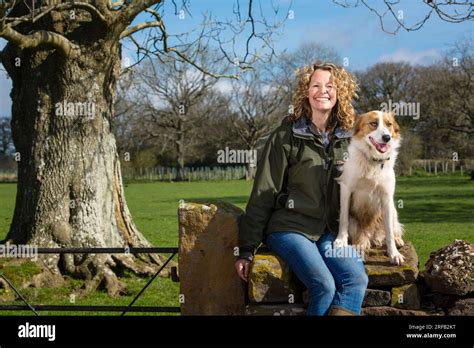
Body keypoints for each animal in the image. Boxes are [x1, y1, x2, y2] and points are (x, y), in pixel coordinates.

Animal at [336, 111, 406, 264]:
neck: (373, 161)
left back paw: (396, 240)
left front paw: (394, 254)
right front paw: (341, 240)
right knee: (361, 236)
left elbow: (389, 231)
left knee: (393, 228)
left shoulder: (387, 198)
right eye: (374, 123)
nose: (387, 138)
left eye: (389, 124)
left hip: (393, 210)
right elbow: (343, 219)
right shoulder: (346, 189)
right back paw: (362, 243)